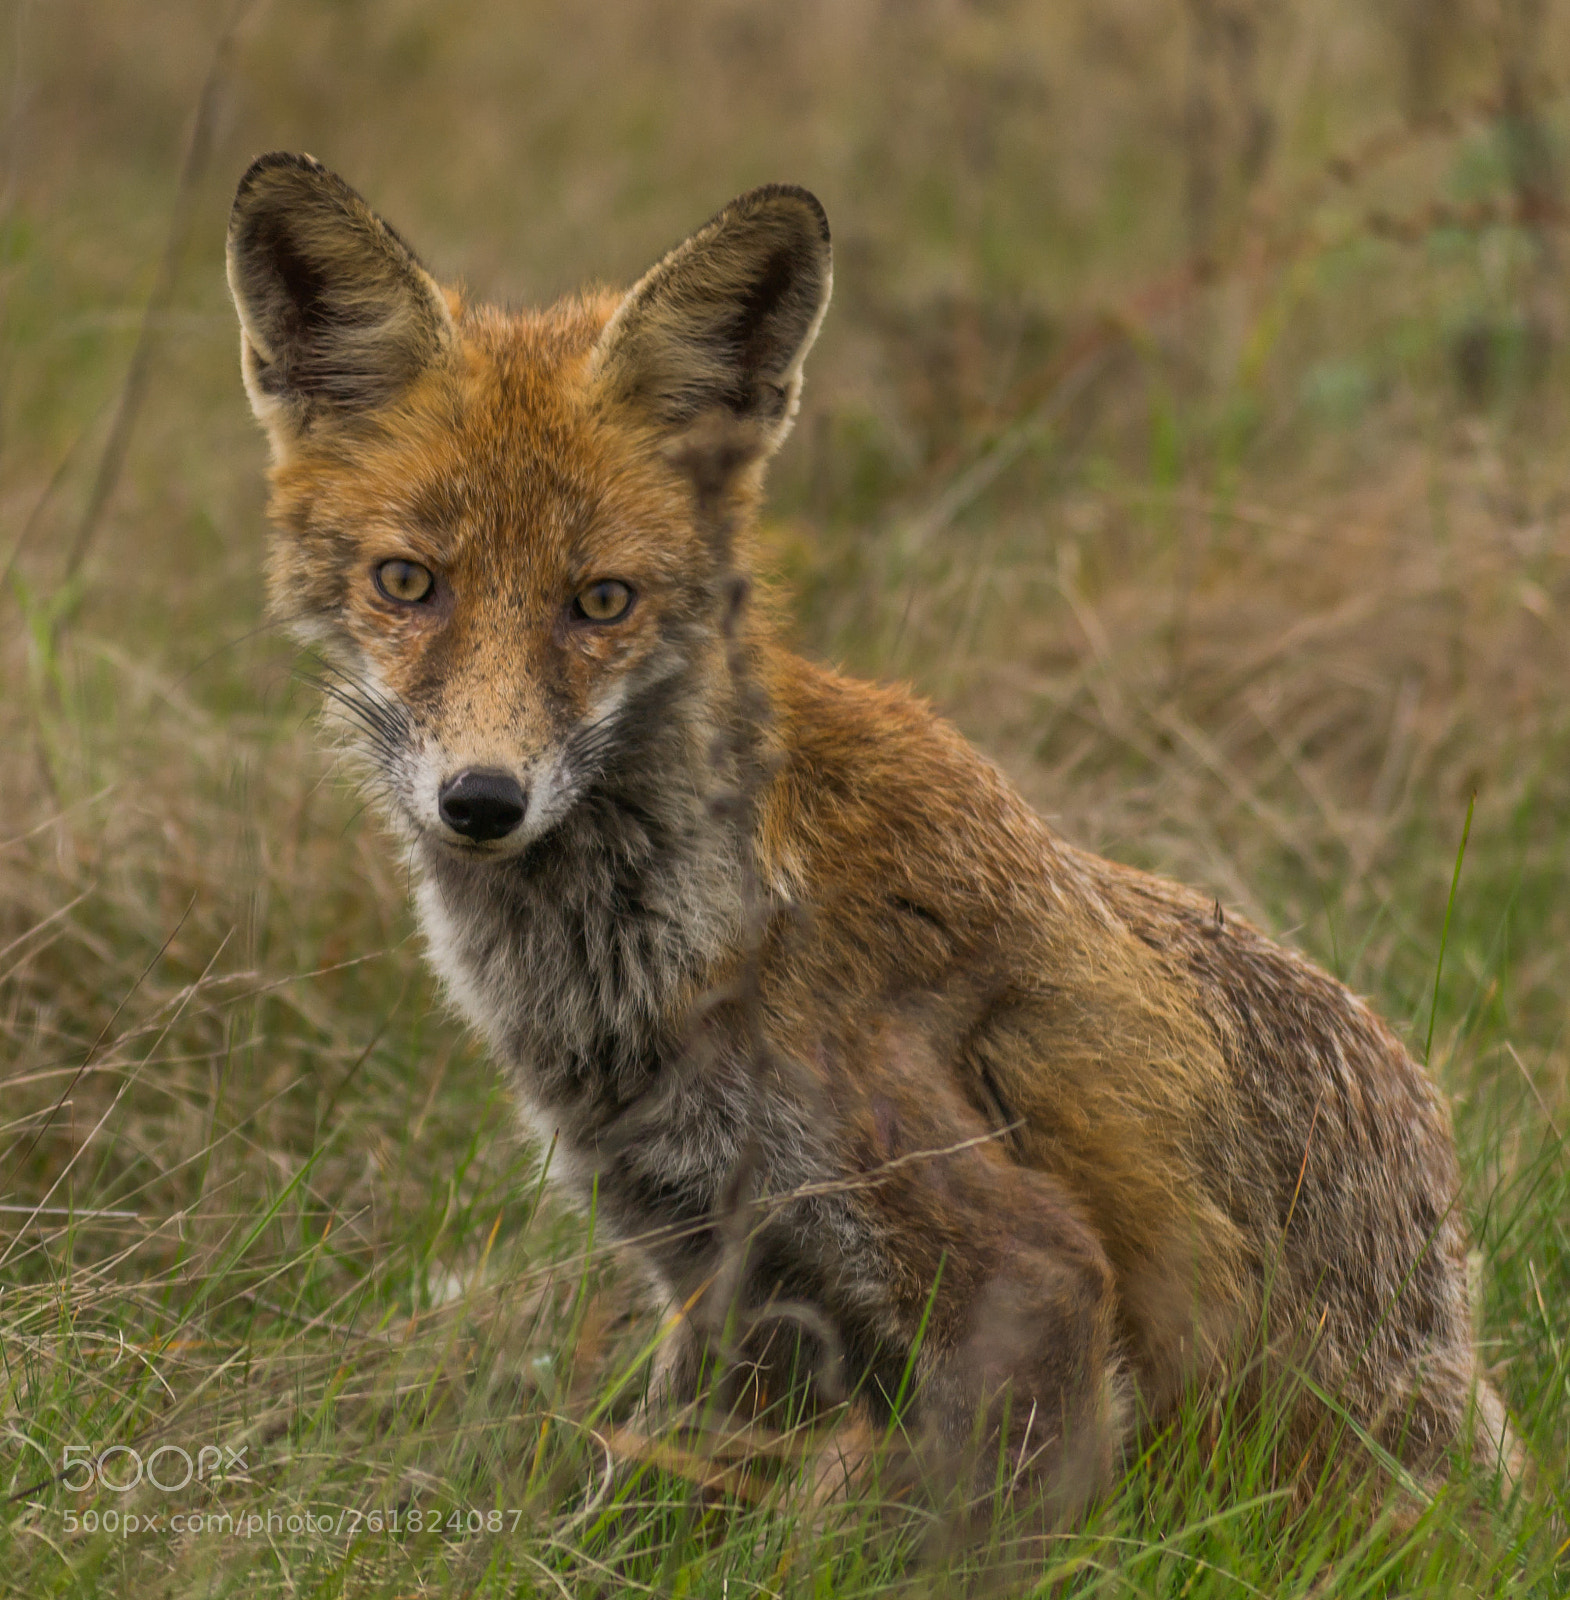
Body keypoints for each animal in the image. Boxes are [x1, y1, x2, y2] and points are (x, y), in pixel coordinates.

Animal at [227, 151, 1518, 1518]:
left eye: (602, 601)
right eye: (407, 583)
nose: (481, 799)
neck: (707, 933)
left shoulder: (1022, 1277)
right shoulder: (723, 1281)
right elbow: (629, 1499)